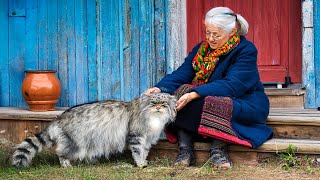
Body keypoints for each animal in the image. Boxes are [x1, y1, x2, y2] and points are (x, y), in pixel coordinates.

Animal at [11, 93, 176, 167]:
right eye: (153, 102)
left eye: (164, 103)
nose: (158, 107)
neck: (153, 118)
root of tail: (59, 118)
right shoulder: (136, 137)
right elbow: (137, 152)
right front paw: (140, 164)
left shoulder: (147, 139)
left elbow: (144, 151)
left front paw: (143, 161)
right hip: (75, 144)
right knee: (61, 153)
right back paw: (66, 164)